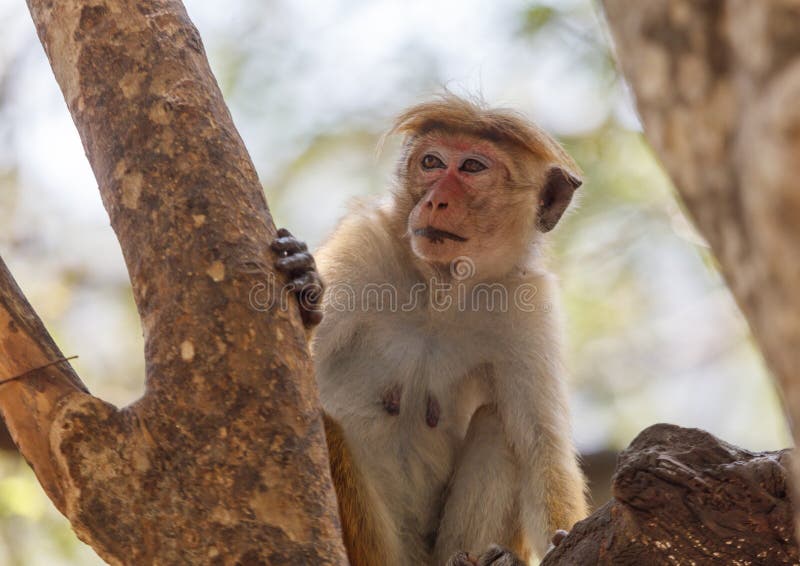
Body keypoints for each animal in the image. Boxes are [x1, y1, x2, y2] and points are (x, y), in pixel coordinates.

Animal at [272, 93, 587, 566]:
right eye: (432, 162)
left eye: (473, 167)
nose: (436, 201)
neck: (440, 293)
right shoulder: (362, 248)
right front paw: (306, 292)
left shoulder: (527, 302)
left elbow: (539, 449)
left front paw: (561, 538)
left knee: (500, 426)